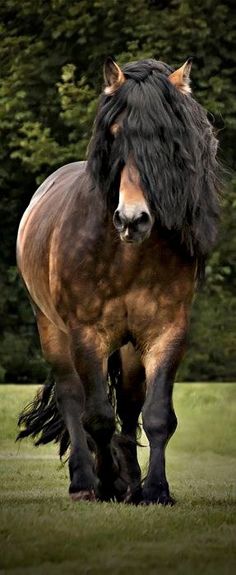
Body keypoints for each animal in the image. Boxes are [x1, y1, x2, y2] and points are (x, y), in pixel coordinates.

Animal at [16, 57, 219, 504]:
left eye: (167, 142)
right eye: (114, 134)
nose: (132, 220)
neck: (126, 257)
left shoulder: (166, 332)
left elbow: (156, 415)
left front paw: (154, 489)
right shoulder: (86, 334)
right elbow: (96, 417)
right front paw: (106, 483)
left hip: (127, 348)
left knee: (128, 402)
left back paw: (130, 478)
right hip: (52, 330)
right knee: (72, 398)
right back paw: (84, 481)